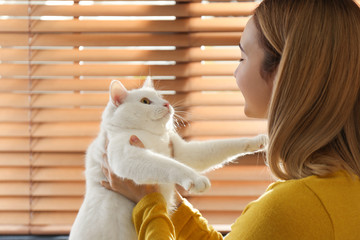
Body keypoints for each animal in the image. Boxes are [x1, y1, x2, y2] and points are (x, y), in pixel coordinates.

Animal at [68, 78, 268, 239]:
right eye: (145, 101)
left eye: (160, 96)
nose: (166, 103)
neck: (154, 136)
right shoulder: (126, 156)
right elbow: (166, 164)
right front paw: (195, 179)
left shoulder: (184, 153)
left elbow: (223, 146)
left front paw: (257, 141)